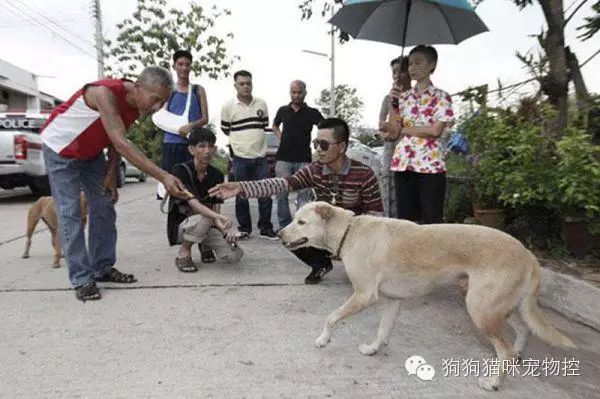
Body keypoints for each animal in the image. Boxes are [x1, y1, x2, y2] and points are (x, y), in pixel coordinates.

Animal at [278, 202, 576, 392]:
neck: (349, 231)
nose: (279, 234)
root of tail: (528, 254)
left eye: (301, 222)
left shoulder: (363, 296)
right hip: (502, 307)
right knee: (524, 329)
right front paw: (374, 349)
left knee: (502, 347)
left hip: (481, 309)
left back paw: (494, 382)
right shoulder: (391, 301)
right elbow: (383, 330)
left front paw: (323, 339)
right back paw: (516, 356)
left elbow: (332, 317)